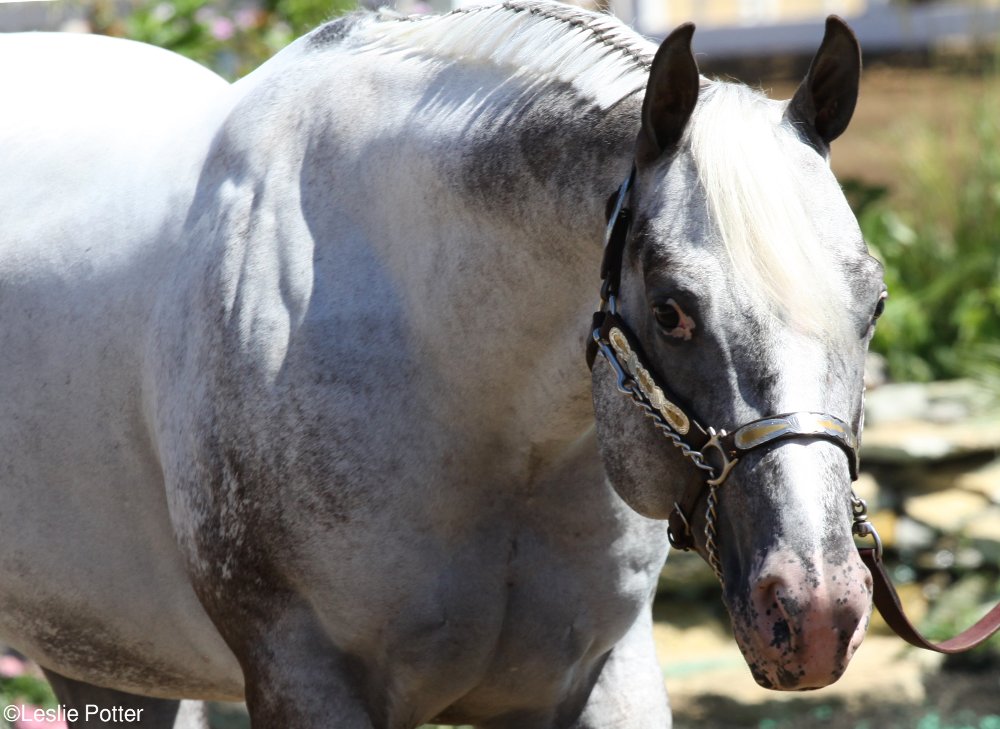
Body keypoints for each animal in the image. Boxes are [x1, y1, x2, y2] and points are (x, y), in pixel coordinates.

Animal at [1, 2, 884, 724]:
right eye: (672, 309)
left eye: (872, 303)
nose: (814, 611)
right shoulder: (305, 678)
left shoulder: (606, 674)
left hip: (108, 661)